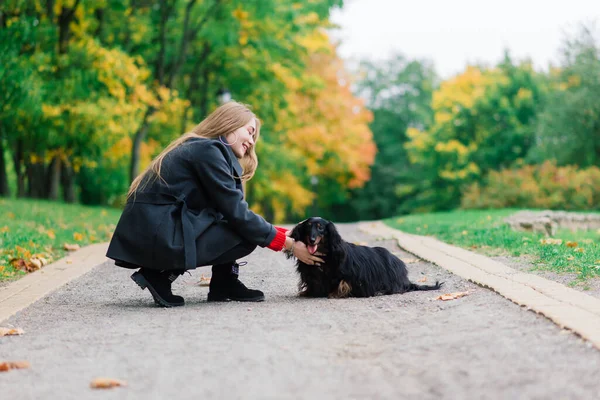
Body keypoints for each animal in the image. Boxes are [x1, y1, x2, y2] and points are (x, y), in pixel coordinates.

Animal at [288, 217, 442, 298]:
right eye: (308, 227)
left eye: (320, 228)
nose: (312, 240)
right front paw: (309, 292)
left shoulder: (348, 274)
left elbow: (342, 282)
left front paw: (335, 293)